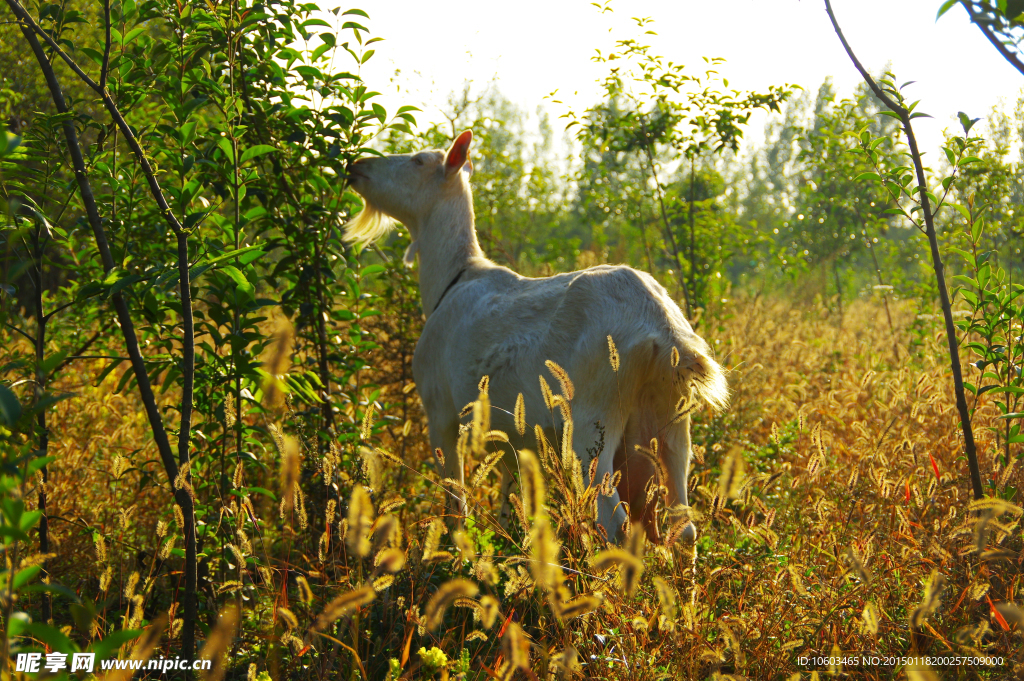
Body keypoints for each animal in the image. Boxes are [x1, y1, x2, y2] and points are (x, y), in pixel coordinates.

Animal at [346, 130, 729, 540]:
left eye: (417, 160)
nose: (357, 165)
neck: (452, 281)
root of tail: (664, 331)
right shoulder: (515, 441)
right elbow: (511, 503)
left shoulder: (440, 412)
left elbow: (456, 503)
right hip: (668, 422)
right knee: (682, 526)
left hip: (591, 424)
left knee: (614, 522)